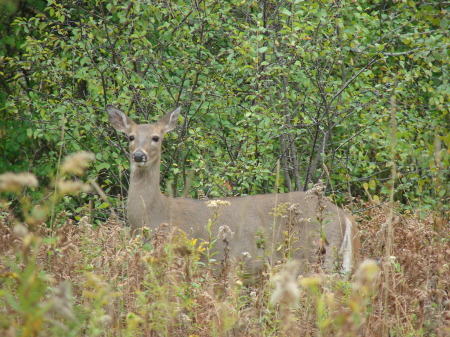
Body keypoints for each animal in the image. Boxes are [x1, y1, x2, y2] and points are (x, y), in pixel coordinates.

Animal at [105, 104, 358, 276]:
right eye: (130, 136)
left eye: (156, 137)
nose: (139, 155)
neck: (155, 214)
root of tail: (344, 217)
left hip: (313, 255)